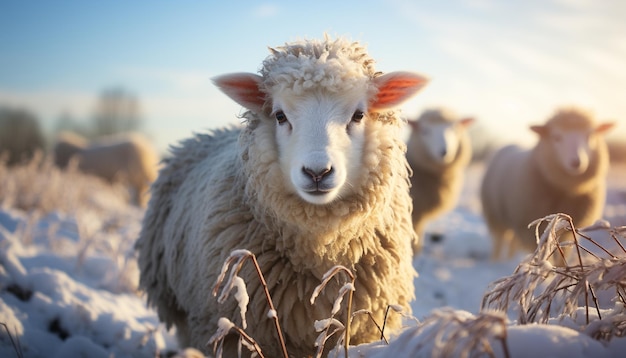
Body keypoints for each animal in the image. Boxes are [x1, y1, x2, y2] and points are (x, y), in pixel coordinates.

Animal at [480, 107, 612, 264]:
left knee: (512, 242)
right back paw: (496, 261)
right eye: (556, 137)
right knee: (499, 241)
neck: (567, 189)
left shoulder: (568, 229)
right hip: (495, 216)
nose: (576, 162)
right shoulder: (531, 230)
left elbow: (562, 255)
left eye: (590, 136)